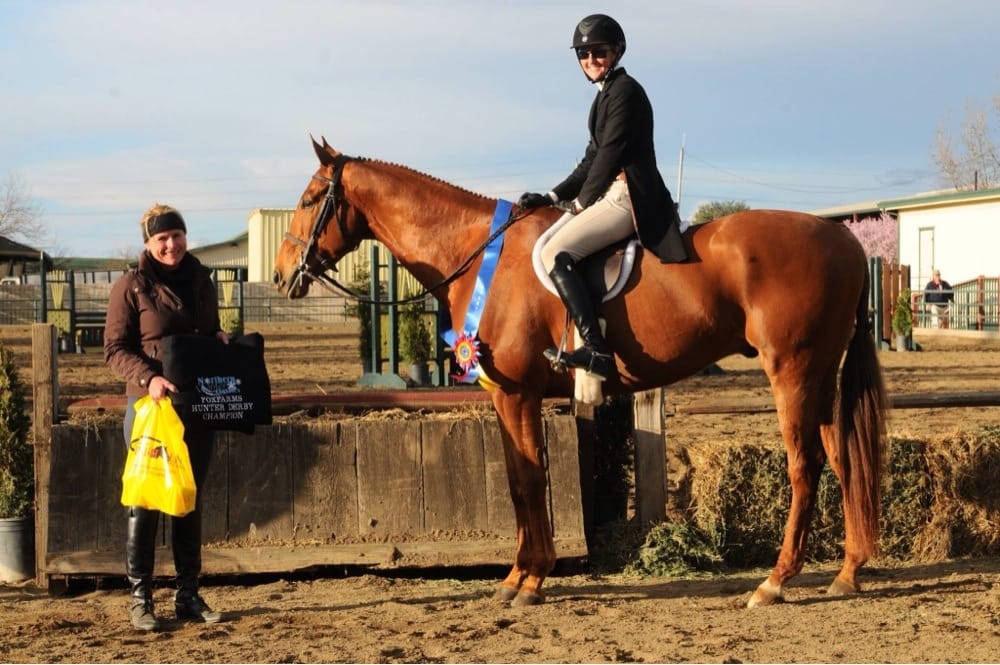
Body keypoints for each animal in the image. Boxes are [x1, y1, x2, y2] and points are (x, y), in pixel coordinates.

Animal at [272, 137, 888, 608]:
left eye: (308, 200)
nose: (281, 276)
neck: (482, 253)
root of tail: (846, 240)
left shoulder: (518, 394)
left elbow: (529, 480)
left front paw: (530, 580)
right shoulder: (507, 396)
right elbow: (519, 480)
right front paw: (517, 576)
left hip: (792, 370)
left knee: (805, 465)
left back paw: (774, 582)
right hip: (818, 375)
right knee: (841, 456)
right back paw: (847, 572)